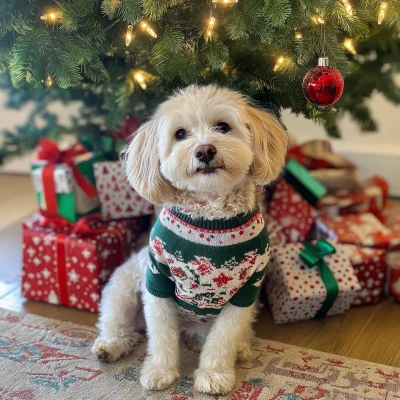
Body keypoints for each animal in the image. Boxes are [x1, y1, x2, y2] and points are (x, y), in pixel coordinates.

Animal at [91, 84, 288, 394]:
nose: (205, 150)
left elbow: (223, 338)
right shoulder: (157, 283)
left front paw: (215, 373)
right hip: (122, 289)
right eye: (180, 134)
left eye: (223, 126)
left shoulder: (246, 292)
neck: (210, 218)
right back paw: (111, 345)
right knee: (118, 323)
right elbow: (161, 336)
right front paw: (160, 370)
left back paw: (241, 349)